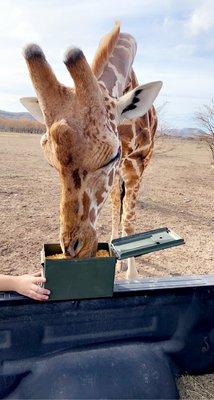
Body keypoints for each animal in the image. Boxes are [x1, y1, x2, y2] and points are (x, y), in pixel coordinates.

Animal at [21, 21, 162, 278]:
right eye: (51, 162)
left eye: (111, 155)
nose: (74, 248)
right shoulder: (119, 171)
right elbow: (117, 209)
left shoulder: (137, 165)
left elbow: (129, 220)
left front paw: (133, 276)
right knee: (116, 203)